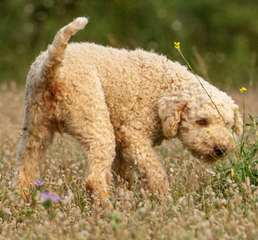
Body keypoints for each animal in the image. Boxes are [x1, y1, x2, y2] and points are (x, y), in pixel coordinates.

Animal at [17, 16, 243, 204]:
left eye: (229, 125)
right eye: (202, 121)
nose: (221, 149)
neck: (164, 87)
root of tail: (51, 70)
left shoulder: (122, 144)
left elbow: (124, 175)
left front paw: (128, 196)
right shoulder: (133, 136)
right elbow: (154, 170)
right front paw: (164, 200)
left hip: (35, 128)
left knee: (24, 169)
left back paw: (24, 201)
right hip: (95, 124)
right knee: (93, 179)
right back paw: (107, 208)